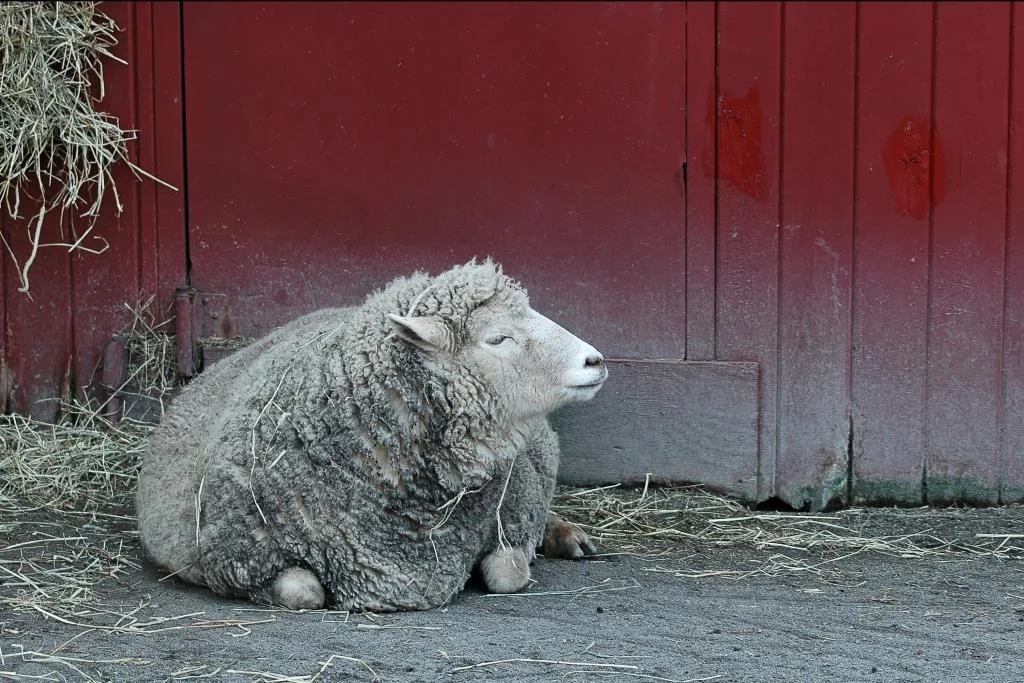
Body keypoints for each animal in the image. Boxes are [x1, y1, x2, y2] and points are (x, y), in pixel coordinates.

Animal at [136, 259, 608, 612]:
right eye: (498, 338)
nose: (596, 360)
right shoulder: (235, 560)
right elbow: (303, 592)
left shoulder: (515, 513)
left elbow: (508, 573)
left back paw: (569, 536)